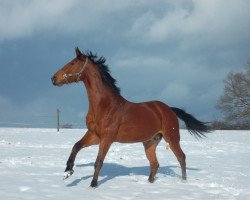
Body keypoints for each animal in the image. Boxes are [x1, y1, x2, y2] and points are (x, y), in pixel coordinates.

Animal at [51, 47, 211, 188]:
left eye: (72, 63)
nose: (53, 78)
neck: (104, 106)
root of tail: (169, 109)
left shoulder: (107, 138)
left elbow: (99, 161)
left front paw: (93, 185)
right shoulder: (94, 135)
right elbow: (76, 146)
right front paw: (68, 172)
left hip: (172, 138)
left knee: (181, 157)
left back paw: (184, 182)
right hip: (150, 143)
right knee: (155, 164)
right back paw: (149, 183)